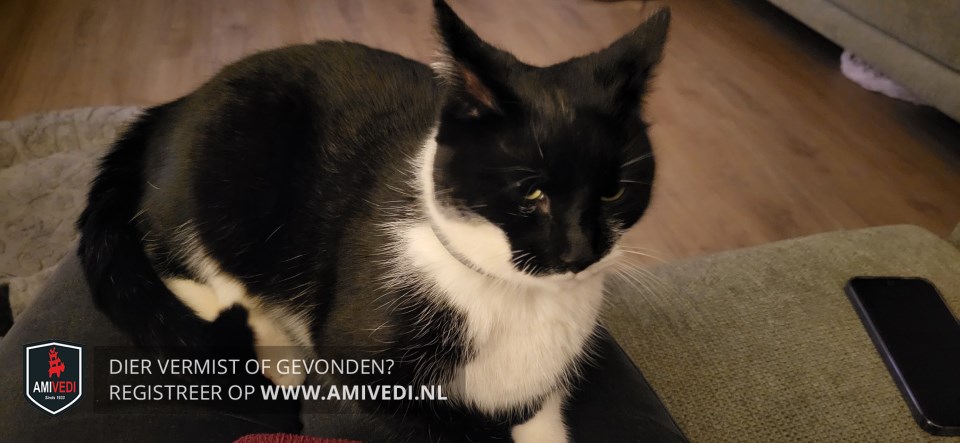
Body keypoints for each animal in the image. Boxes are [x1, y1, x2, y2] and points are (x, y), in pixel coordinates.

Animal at [76, 1, 669, 441]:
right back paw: (276, 347)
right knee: (177, 254)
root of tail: (179, 102)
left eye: (615, 190)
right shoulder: (369, 361)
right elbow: (445, 424)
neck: (516, 297)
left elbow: (540, 415)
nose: (579, 252)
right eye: (533, 192)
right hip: (217, 174)